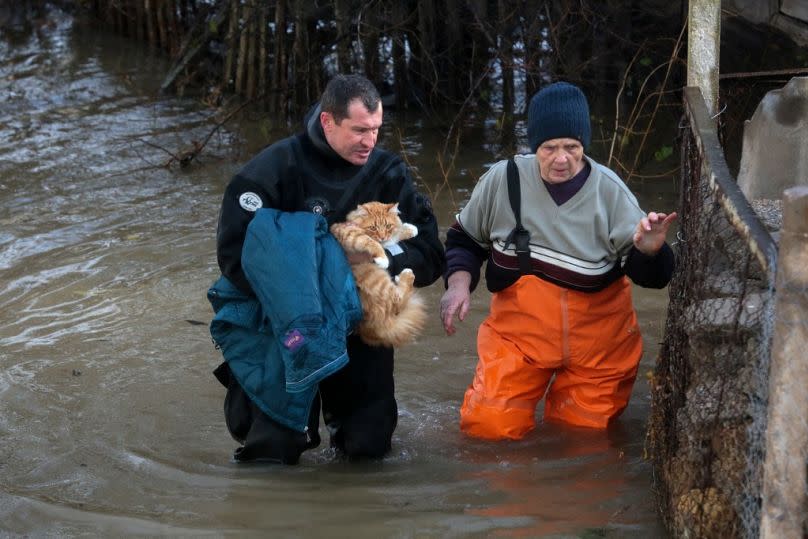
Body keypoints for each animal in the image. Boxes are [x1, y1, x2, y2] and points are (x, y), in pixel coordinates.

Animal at [330, 200, 430, 348]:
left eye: (388, 226)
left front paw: (409, 228)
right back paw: (407, 275)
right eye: (373, 228)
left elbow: (395, 234)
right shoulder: (350, 233)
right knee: (398, 300)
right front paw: (383, 258)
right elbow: (371, 242)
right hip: (377, 279)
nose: (382, 237)